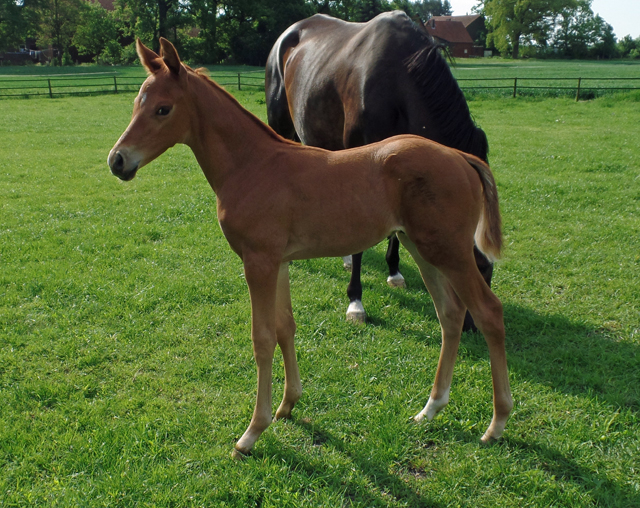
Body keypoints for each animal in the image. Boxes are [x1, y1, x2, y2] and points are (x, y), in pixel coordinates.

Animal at [264, 11, 490, 330]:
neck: (398, 84)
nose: (471, 326)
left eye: (487, 271)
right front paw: (355, 302)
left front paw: (394, 271)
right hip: (280, 124)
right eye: (474, 268)